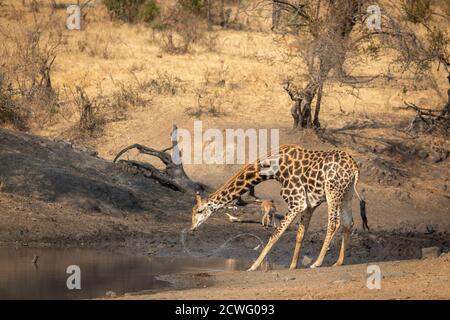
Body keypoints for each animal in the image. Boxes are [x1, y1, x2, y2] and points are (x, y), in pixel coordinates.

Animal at [190, 144, 370, 272]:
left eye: (199, 211)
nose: (192, 228)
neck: (273, 169)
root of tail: (354, 168)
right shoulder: (309, 204)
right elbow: (300, 234)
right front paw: (292, 266)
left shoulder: (296, 201)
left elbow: (275, 234)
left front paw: (253, 266)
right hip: (346, 193)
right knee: (348, 223)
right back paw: (338, 262)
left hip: (332, 190)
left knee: (334, 223)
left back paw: (317, 262)